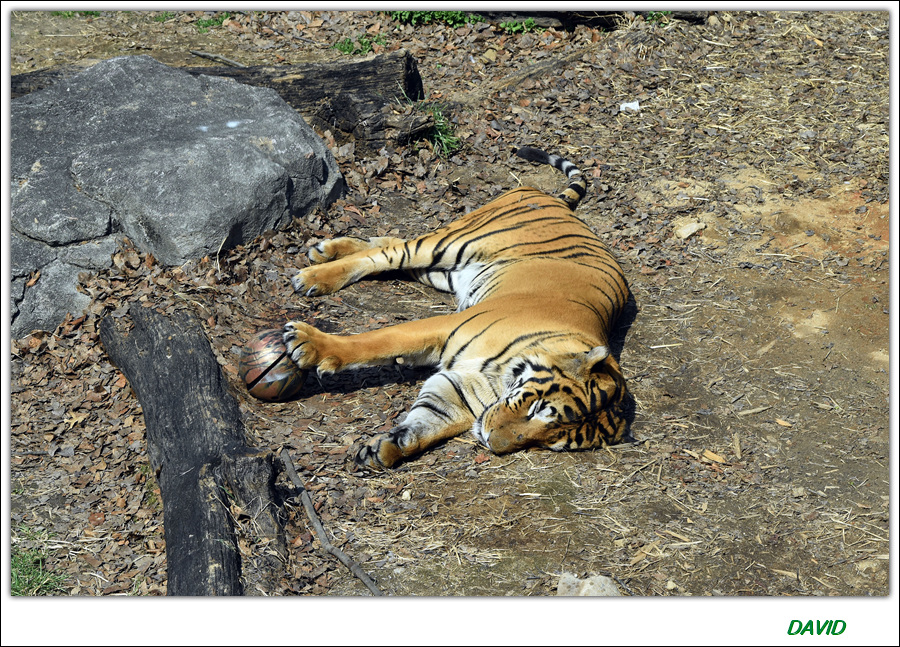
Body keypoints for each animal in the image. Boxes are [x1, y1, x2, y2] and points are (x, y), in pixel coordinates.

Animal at [283, 146, 632, 469]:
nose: (491, 442)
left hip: (441, 270)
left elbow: (427, 422)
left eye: (552, 441)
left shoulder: (459, 390)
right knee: (387, 253)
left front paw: (388, 447)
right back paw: (314, 275)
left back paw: (325, 249)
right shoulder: (444, 326)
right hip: (446, 245)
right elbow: (377, 341)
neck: (500, 378)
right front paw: (309, 344)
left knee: (386, 245)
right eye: (539, 410)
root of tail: (554, 200)